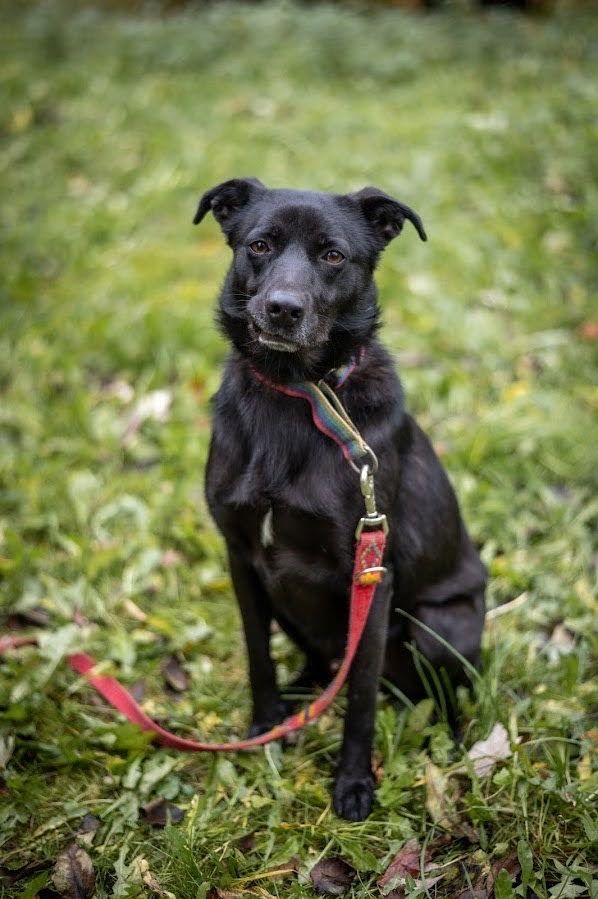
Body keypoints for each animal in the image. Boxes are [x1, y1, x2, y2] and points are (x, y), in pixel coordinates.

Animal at [197, 178, 488, 824]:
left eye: (333, 255)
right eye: (259, 245)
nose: (283, 308)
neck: (297, 396)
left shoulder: (371, 574)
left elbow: (359, 701)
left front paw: (354, 783)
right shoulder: (241, 556)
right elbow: (258, 656)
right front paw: (265, 727)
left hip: (439, 627)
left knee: (441, 691)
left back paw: (453, 739)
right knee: (321, 662)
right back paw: (300, 697)